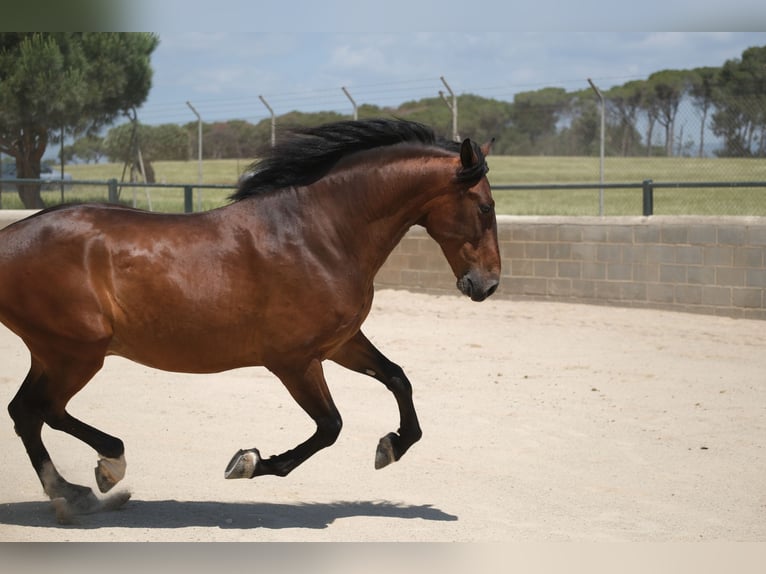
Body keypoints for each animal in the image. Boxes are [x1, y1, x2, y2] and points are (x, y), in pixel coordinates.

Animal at [0, 118, 500, 516]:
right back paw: (105, 470)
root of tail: (9, 240)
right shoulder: (295, 362)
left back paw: (74, 493)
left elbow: (398, 379)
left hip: (54, 353)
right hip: (77, 353)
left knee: (26, 411)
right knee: (43, 409)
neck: (320, 234)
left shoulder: (341, 343)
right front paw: (247, 462)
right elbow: (331, 426)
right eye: (485, 206)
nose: (487, 284)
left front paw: (390, 446)